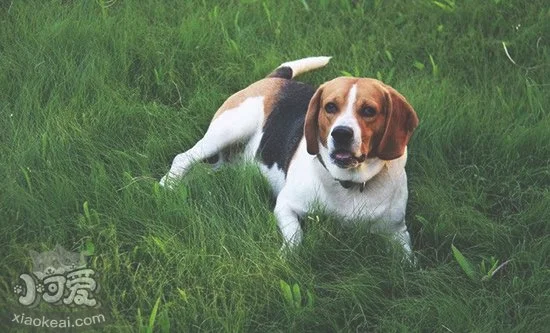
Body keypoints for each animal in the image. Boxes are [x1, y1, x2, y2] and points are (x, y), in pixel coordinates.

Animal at [162, 56, 420, 254]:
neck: (349, 183)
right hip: (228, 130)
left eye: (369, 111)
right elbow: (296, 237)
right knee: (183, 158)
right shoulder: (285, 206)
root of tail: (274, 80)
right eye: (330, 107)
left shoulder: (398, 232)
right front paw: (286, 257)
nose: (341, 134)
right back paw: (167, 187)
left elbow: (408, 262)